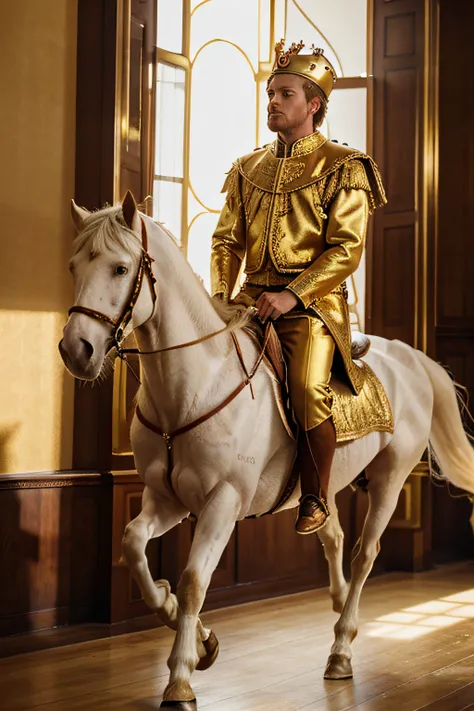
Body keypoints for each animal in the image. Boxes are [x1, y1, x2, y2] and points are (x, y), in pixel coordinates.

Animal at [59, 192, 474, 708]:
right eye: (74, 266)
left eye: (119, 268)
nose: (76, 350)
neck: (195, 384)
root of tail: (411, 356)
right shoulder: (165, 498)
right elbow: (134, 547)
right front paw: (191, 630)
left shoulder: (222, 502)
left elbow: (195, 579)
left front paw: (181, 676)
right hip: (326, 483)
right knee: (332, 533)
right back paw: (337, 604)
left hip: (390, 479)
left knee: (365, 554)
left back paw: (341, 648)